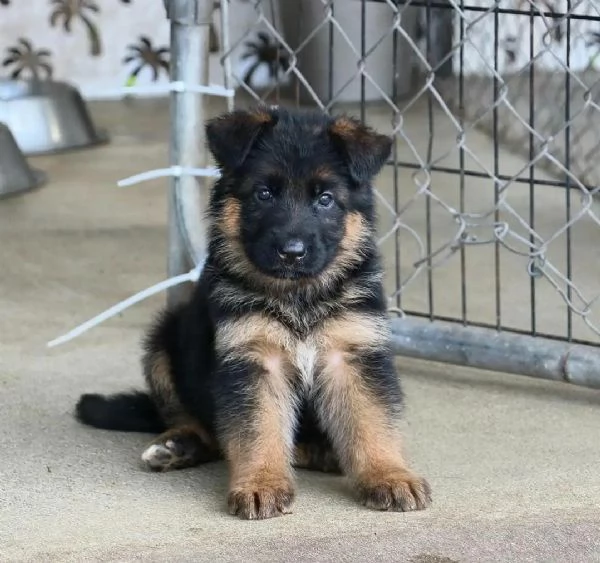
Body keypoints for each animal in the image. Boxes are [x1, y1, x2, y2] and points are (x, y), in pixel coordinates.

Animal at [75, 104, 432, 520]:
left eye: (325, 199)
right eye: (264, 194)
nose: (292, 252)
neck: (298, 296)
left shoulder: (354, 353)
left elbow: (372, 420)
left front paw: (389, 474)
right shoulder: (253, 360)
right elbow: (257, 428)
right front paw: (261, 483)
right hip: (164, 341)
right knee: (196, 422)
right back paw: (178, 445)